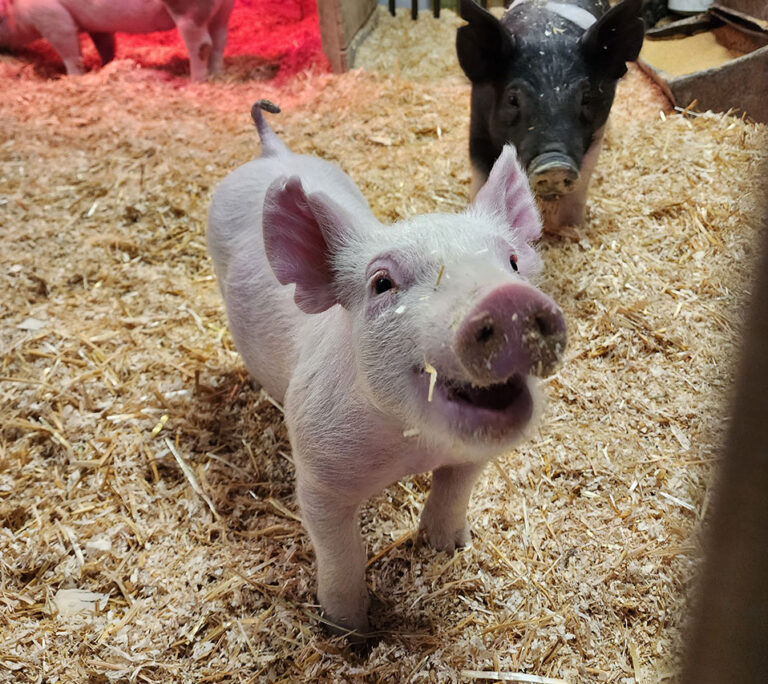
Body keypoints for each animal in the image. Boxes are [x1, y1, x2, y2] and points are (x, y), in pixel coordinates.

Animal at [0, 0, 234, 81]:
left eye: (0, 19)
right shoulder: (98, 26)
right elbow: (106, 45)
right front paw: (106, 66)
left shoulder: (52, 17)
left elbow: (70, 52)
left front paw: (73, 78)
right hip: (223, 9)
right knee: (220, 39)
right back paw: (217, 74)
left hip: (188, 11)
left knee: (201, 44)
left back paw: (195, 82)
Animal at [206, 100, 567, 636]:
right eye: (381, 283)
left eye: (513, 262)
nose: (508, 300)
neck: (413, 445)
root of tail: (272, 150)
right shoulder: (317, 472)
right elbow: (340, 550)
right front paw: (348, 630)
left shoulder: (470, 455)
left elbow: (452, 494)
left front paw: (452, 546)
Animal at [456, 0, 644, 234]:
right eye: (512, 99)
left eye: (587, 98)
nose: (554, 165)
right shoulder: (478, 126)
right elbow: (483, 176)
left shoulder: (595, 137)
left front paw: (571, 227)